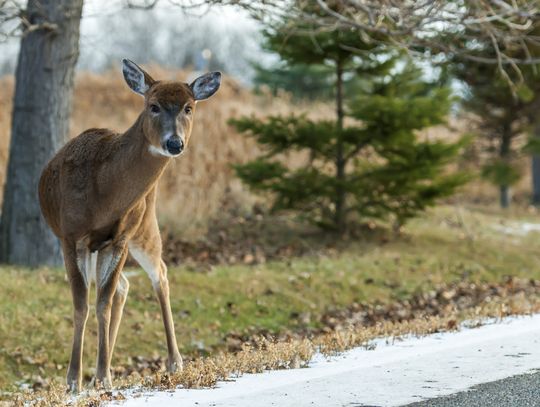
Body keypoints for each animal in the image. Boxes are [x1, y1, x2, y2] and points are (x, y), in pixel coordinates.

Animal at [39, 59, 221, 394]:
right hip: (100, 245)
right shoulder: (71, 237)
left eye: (189, 107)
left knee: (158, 273)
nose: (174, 143)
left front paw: (101, 376)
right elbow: (83, 304)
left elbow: (102, 303)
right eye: (153, 106)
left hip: (145, 226)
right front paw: (74, 380)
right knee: (123, 286)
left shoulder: (120, 238)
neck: (103, 193)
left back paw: (175, 362)